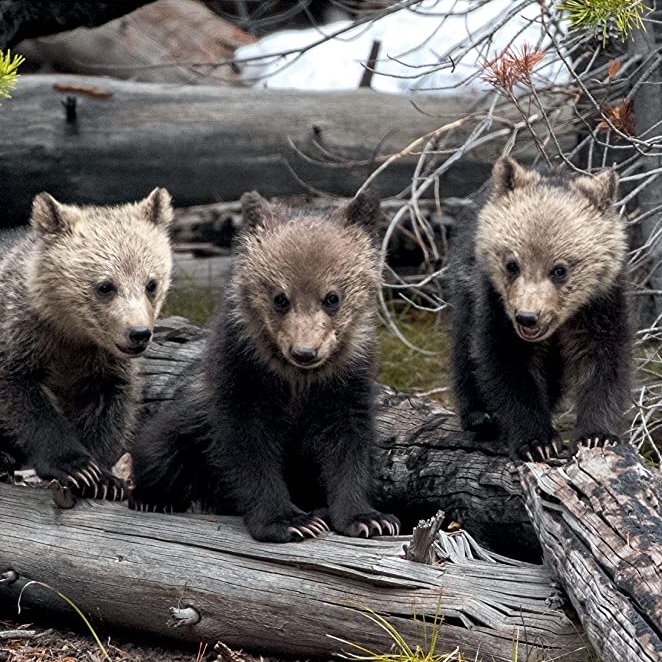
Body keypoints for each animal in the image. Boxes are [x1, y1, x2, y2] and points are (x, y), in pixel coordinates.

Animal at [0, 189, 174, 499]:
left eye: (151, 284)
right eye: (105, 286)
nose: (138, 333)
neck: (71, 332)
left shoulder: (104, 362)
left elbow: (108, 408)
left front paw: (104, 479)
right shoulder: (20, 335)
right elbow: (22, 397)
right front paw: (75, 467)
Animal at [130, 191, 400, 543]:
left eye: (332, 297)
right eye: (280, 297)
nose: (305, 352)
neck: (296, 379)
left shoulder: (345, 378)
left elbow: (347, 443)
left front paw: (369, 518)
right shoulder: (243, 374)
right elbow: (248, 447)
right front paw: (291, 521)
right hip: (183, 427)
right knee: (160, 449)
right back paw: (152, 498)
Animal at [448, 157, 632, 460]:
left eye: (560, 269)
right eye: (512, 264)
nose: (528, 317)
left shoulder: (601, 301)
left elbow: (603, 359)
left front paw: (597, 435)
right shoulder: (494, 302)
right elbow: (506, 360)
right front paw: (537, 442)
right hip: (465, 283)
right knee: (463, 345)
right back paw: (480, 415)